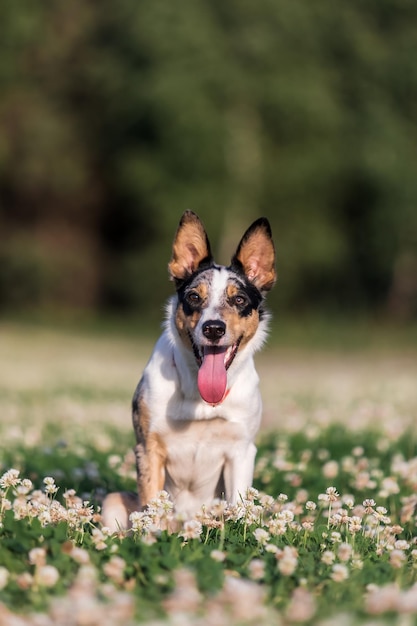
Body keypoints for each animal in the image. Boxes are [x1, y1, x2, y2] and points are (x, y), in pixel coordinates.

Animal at [102, 212, 274, 528]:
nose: (214, 328)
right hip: (113, 502)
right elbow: (151, 508)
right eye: (194, 297)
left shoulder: (241, 450)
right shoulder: (149, 448)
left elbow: (239, 507)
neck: (200, 396)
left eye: (240, 299)